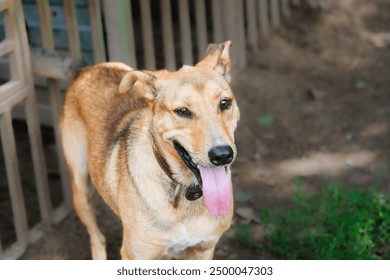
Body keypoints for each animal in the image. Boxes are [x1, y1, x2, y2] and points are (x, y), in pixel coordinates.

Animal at [59, 41, 239, 260]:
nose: (222, 155)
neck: (182, 192)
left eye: (225, 103)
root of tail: (87, 69)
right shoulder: (136, 254)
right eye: (183, 111)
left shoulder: (204, 250)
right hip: (81, 187)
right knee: (97, 236)